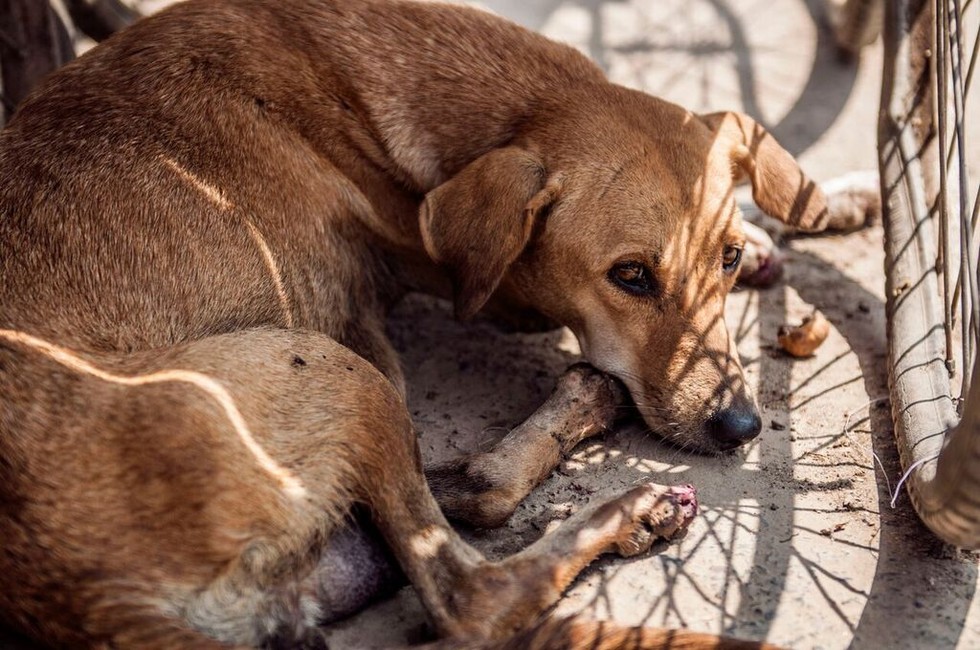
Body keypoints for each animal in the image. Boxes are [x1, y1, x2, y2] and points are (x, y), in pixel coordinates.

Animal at [0, 0, 880, 644]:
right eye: (630, 276)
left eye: (723, 259)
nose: (740, 427)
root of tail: (66, 592)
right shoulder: (480, 289)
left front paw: (822, 203)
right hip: (325, 367)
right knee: (473, 586)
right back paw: (615, 499)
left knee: (453, 499)